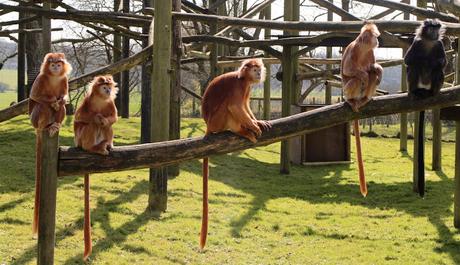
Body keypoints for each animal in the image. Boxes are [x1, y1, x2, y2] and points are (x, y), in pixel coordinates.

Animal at [199, 57, 272, 248]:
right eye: (254, 69)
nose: (259, 73)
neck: (243, 79)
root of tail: (207, 125)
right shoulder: (238, 87)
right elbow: (236, 106)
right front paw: (253, 126)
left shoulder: (247, 88)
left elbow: (245, 106)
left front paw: (257, 122)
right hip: (218, 121)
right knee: (230, 107)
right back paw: (243, 131)